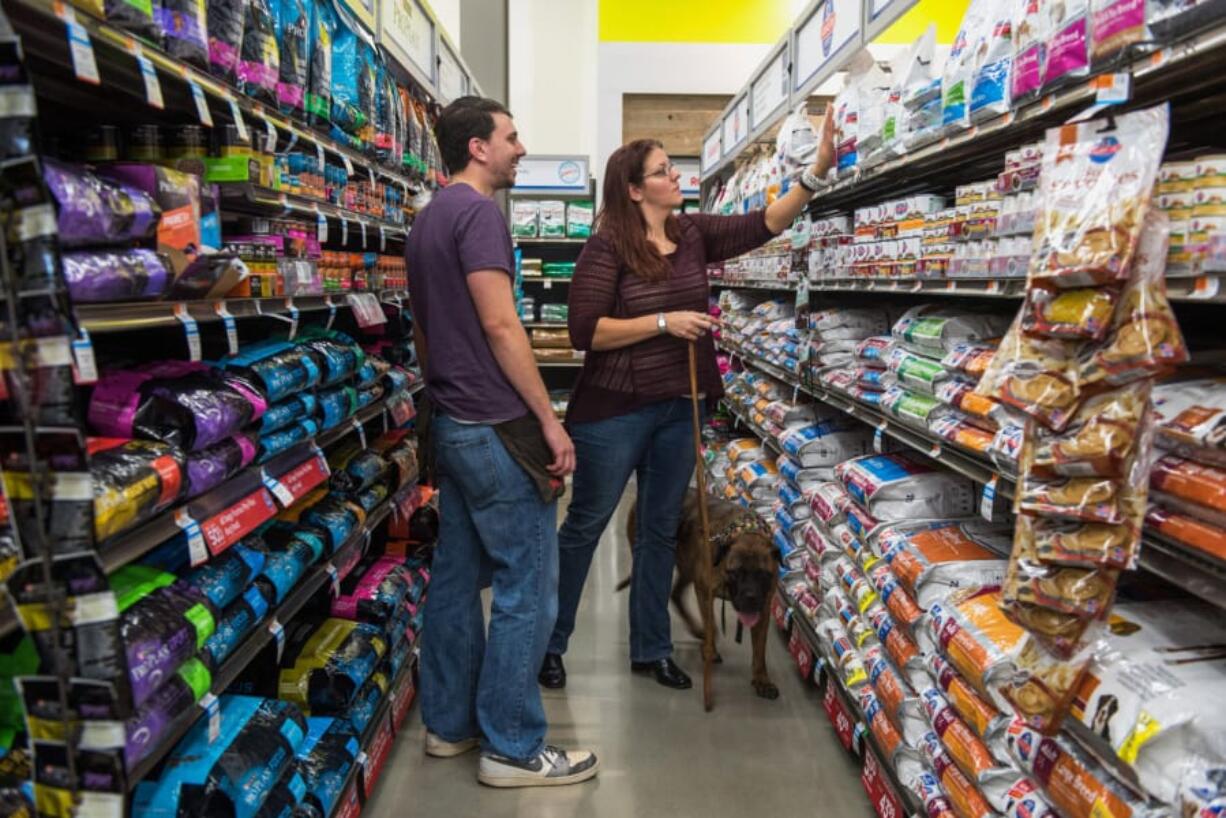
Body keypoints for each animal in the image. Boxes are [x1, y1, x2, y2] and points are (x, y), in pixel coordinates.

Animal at [627, 490, 779, 701]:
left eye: (763, 574)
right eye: (736, 572)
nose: (750, 597)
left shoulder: (763, 608)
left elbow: (759, 649)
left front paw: (762, 679)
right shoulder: (704, 592)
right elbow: (712, 624)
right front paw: (710, 649)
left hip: (688, 567)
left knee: (676, 594)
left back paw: (695, 630)